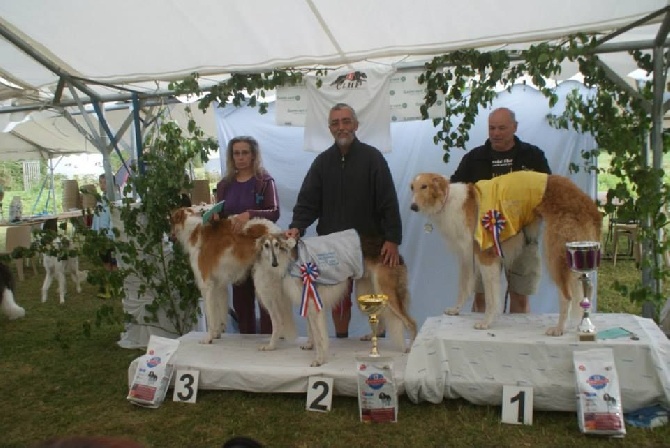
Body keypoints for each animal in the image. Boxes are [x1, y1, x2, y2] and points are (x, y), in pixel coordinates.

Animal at [172, 206, 282, 344]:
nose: (170, 238)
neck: (193, 231)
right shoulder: (218, 285)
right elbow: (220, 313)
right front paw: (217, 334)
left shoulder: (206, 285)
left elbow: (210, 315)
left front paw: (209, 338)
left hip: (263, 284)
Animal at [253, 233, 418, 366]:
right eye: (266, 246)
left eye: (277, 245)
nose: (274, 263)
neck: (291, 259)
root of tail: (396, 255)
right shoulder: (308, 300)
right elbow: (311, 329)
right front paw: (309, 345)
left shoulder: (313, 301)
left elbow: (319, 336)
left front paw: (319, 360)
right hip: (368, 290)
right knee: (382, 321)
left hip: (386, 292)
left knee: (412, 323)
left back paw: (412, 348)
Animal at [410, 172, 604, 336]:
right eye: (412, 187)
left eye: (424, 186)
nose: (412, 206)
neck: (448, 200)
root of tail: (588, 203)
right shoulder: (468, 256)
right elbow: (464, 287)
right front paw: (456, 310)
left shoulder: (486, 256)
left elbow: (491, 298)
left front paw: (486, 322)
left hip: (556, 253)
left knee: (567, 296)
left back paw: (559, 328)